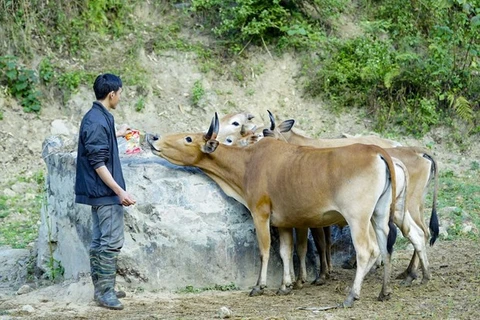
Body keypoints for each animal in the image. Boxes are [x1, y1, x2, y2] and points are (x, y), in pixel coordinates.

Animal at [147, 112, 402, 308]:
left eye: (188, 138)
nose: (153, 137)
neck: (248, 164)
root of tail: (378, 152)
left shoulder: (260, 214)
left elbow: (265, 250)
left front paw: (259, 286)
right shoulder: (285, 222)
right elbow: (286, 251)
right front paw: (285, 285)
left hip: (358, 217)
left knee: (367, 251)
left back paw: (351, 295)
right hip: (379, 215)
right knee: (385, 246)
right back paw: (385, 292)